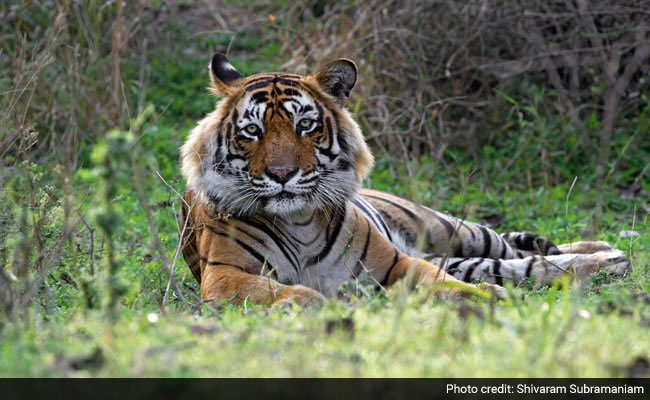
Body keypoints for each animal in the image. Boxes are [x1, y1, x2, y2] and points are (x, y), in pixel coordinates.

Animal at [177, 53, 628, 308]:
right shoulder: (225, 275)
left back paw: (606, 253)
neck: (299, 221)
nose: (283, 174)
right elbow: (283, 290)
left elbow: (445, 284)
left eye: (305, 125)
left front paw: (487, 299)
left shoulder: (397, 263)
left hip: (451, 229)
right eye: (252, 132)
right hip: (463, 253)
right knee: (526, 263)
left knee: (516, 248)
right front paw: (310, 303)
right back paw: (608, 258)